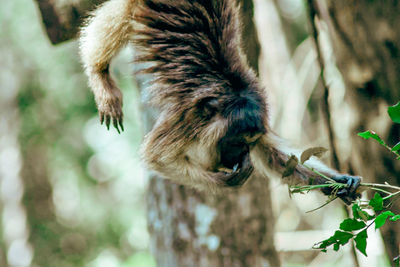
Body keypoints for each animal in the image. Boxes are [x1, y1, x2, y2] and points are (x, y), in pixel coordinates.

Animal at [79, 0, 360, 203]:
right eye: (235, 142)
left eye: (249, 144)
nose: (240, 155)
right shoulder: (188, 118)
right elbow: (155, 157)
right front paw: (224, 182)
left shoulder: (261, 118)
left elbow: (278, 161)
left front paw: (339, 182)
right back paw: (98, 72)